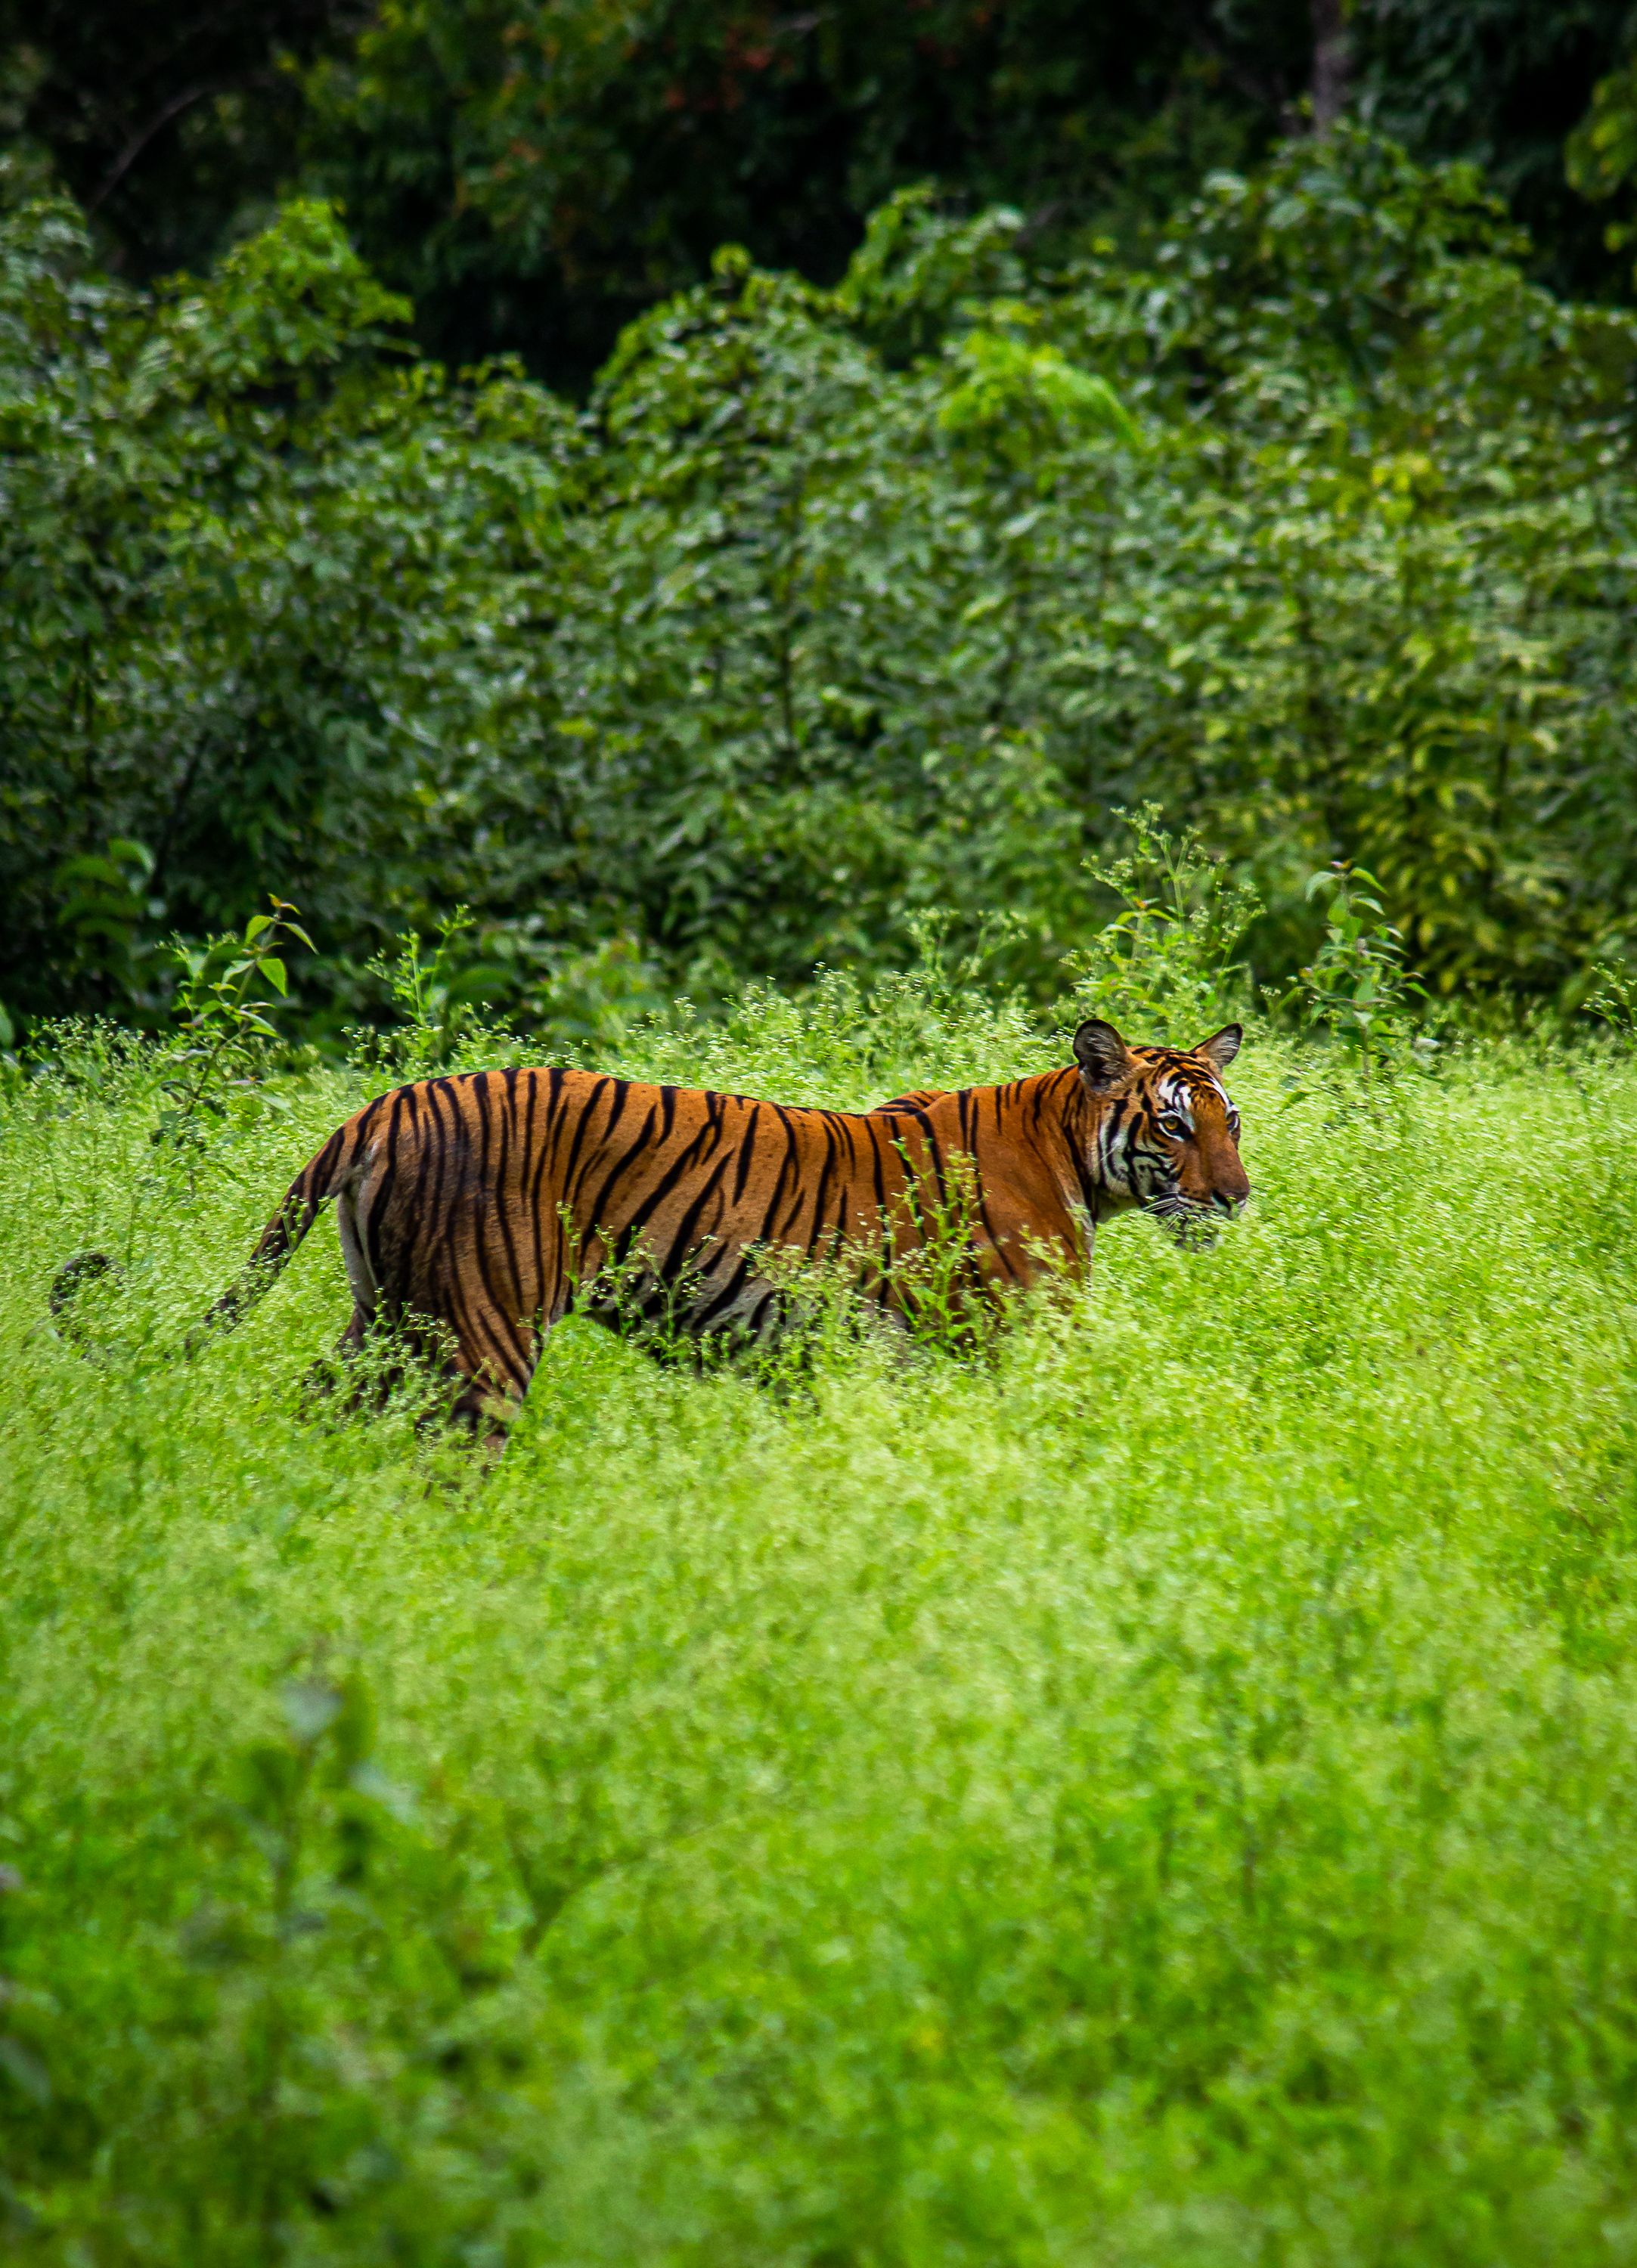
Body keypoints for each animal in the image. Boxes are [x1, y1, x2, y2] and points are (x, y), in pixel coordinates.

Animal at [52, 1017, 1249, 1439]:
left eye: (1230, 1124)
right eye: (1173, 1126)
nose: (1237, 1196)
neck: (1072, 1146)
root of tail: (387, 1102)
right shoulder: (1024, 1340)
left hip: (387, 1317)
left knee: (312, 1412)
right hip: (481, 1330)